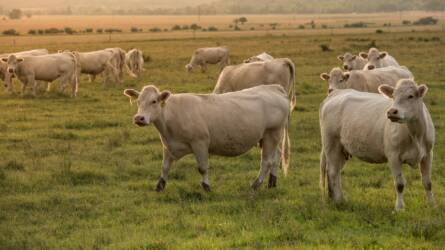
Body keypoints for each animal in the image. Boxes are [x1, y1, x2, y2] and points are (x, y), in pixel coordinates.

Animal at [123, 84, 290, 191]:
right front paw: (159, 185)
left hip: (271, 134)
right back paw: (272, 183)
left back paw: (255, 185)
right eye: (138, 101)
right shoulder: (168, 145)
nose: (139, 118)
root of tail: (274, 88)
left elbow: (202, 168)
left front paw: (206, 187)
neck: (172, 115)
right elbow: (164, 167)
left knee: (266, 162)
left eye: (154, 101)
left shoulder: (200, 143)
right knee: (276, 158)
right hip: (270, 137)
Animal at [318, 79, 436, 210]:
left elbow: (427, 182)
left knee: (336, 172)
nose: (392, 111)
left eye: (410, 96)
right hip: (331, 143)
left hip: (342, 149)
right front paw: (399, 208)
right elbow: (399, 184)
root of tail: (336, 93)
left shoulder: (428, 154)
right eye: (393, 96)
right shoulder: (393, 156)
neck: (416, 135)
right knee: (333, 172)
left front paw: (432, 204)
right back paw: (339, 200)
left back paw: (336, 199)